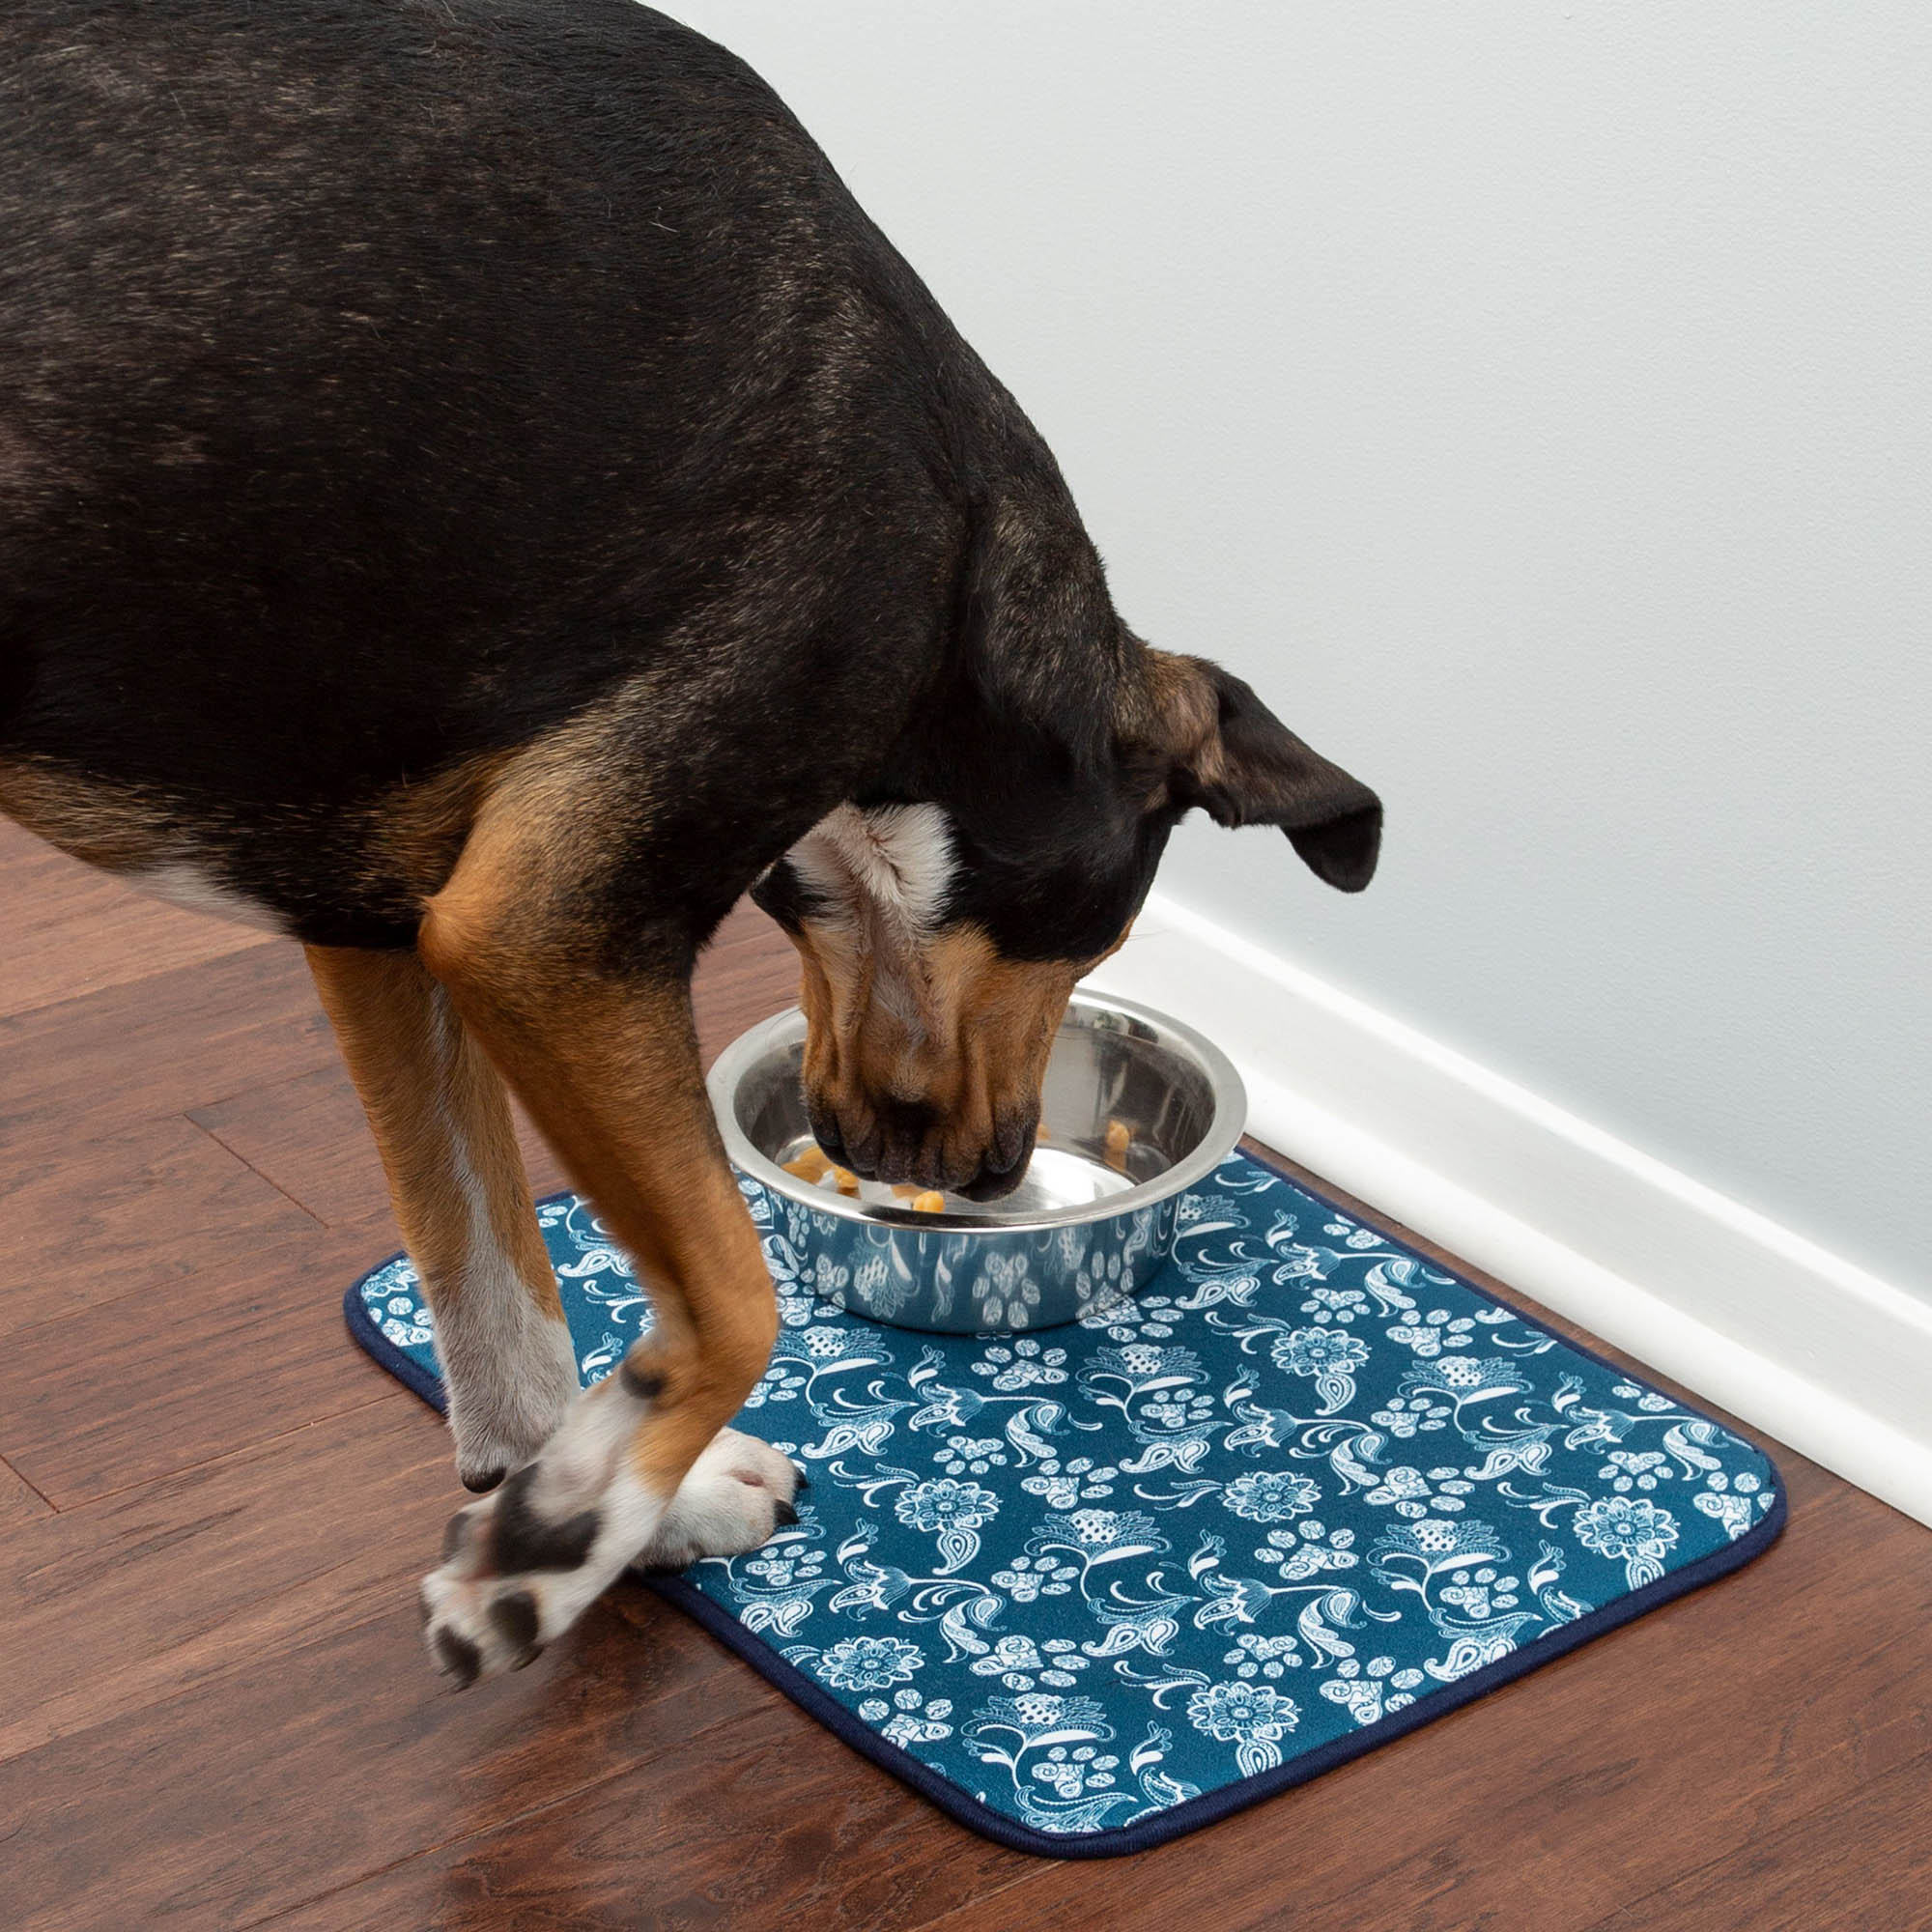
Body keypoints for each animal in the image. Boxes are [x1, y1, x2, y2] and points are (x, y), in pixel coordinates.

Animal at [0, 0, 1376, 1685]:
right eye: (1105, 933)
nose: (991, 1177)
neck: (959, 606)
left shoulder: (388, 922)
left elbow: (496, 1283)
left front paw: (594, 1501)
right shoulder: (545, 929)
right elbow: (730, 1291)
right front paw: (559, 1543)